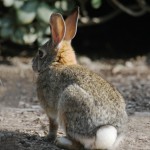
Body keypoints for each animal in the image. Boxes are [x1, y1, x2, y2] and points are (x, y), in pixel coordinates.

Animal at [31, 7, 127, 150]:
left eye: (40, 53)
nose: (32, 64)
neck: (57, 64)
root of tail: (105, 132)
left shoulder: (50, 110)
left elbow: (53, 125)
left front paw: (48, 138)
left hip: (69, 102)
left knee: (78, 144)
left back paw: (60, 141)